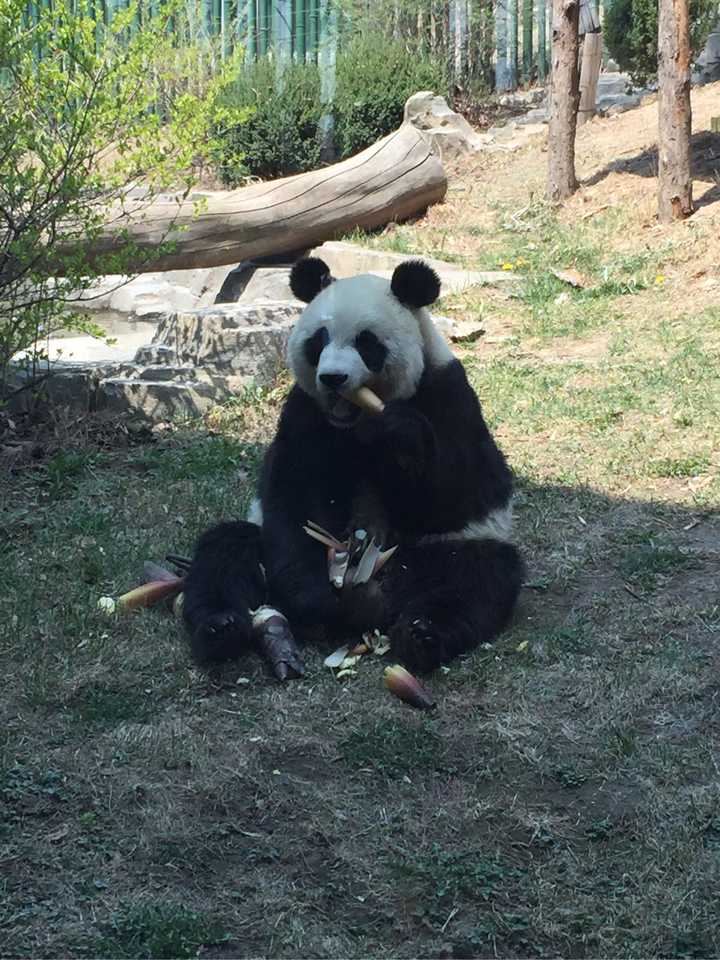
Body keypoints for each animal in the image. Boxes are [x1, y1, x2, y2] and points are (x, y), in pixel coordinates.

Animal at [181, 255, 524, 676]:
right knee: (224, 552)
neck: (358, 420)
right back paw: (222, 628)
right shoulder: (305, 413)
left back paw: (423, 635)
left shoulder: (447, 394)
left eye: (367, 343)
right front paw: (313, 601)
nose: (333, 378)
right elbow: (295, 500)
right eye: (319, 340)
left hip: (437, 554)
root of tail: (377, 601)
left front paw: (402, 433)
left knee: (475, 576)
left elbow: (461, 491)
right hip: (258, 543)